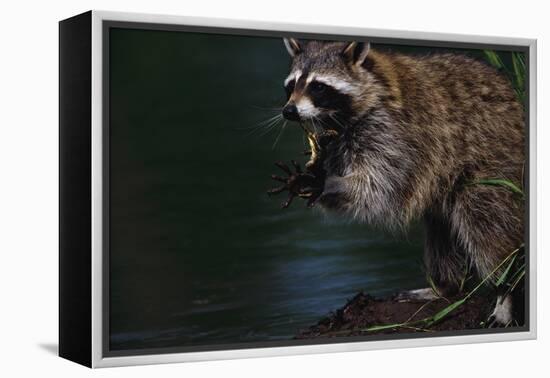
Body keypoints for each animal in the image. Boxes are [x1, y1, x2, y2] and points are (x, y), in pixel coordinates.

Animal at [280, 38, 528, 324]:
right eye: (291, 85)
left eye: (318, 86)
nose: (289, 111)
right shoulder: (338, 139)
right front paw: (315, 177)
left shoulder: (397, 133)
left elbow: (381, 186)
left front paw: (329, 182)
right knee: (440, 228)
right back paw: (446, 286)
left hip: (493, 165)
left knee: (485, 222)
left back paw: (506, 290)